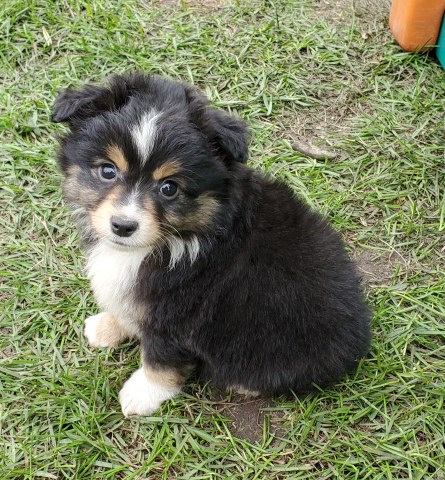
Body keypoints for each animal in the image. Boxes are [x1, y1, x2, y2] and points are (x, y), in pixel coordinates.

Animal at [53, 72, 372, 416]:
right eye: (107, 171)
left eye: (169, 188)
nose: (123, 226)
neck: (179, 240)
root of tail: (358, 344)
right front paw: (106, 328)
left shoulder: (179, 315)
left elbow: (160, 358)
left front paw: (142, 395)